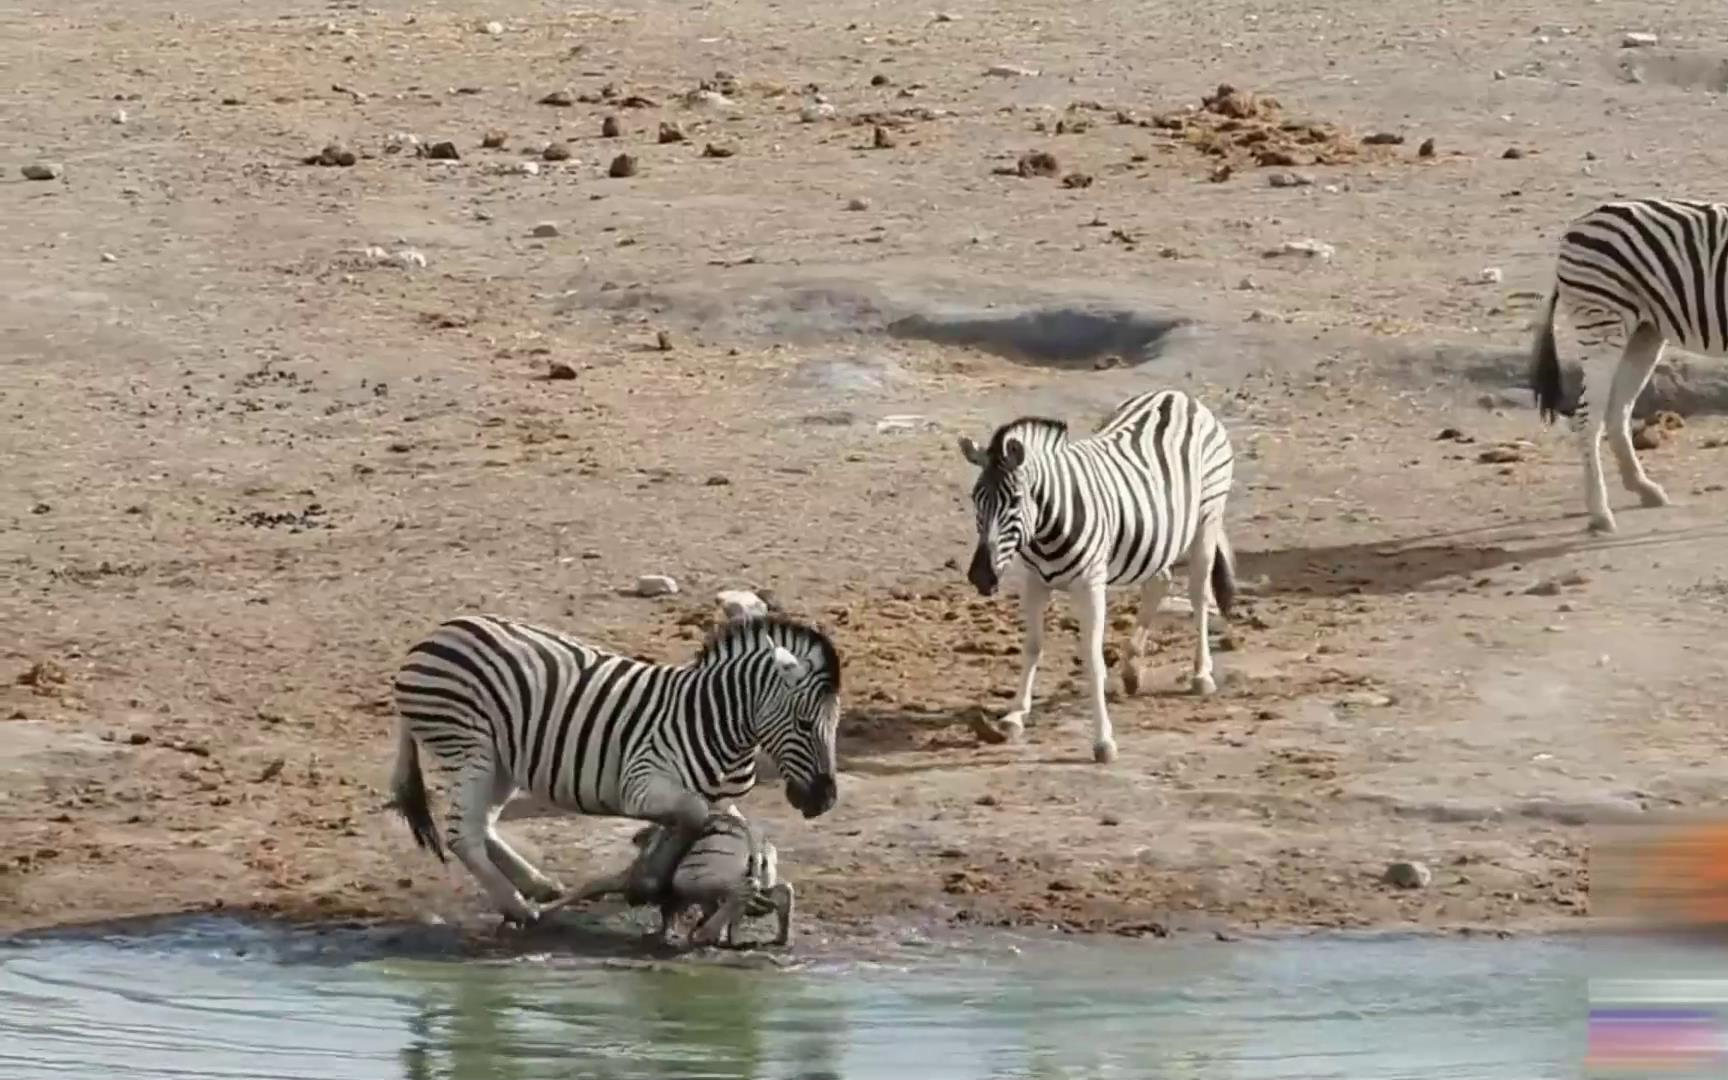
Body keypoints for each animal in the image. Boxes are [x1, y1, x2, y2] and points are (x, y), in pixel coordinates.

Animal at [393, 611, 850, 919]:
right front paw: (649, 880)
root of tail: (438, 631)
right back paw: (518, 907)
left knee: (484, 825)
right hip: (473, 750)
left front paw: (651, 874)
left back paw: (537, 884)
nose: (826, 801)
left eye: (837, 724)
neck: (713, 721)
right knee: (462, 836)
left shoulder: (718, 801)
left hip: (502, 759)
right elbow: (692, 814)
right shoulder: (641, 784)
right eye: (804, 723)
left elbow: (701, 824)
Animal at [552, 801, 794, 940]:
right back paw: (778, 936)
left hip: (688, 876)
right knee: (780, 891)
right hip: (758, 879)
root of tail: (755, 843)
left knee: (745, 890)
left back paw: (704, 934)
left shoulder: (647, 880)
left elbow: (590, 885)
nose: (633, 898)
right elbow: (686, 910)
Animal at [953, 392, 1237, 763]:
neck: (1045, 529)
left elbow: (1092, 657)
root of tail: (1178, 396)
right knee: (1158, 581)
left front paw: (1103, 740)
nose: (981, 576)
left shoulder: (1090, 585)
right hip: (1158, 536)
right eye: (976, 499)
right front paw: (1015, 715)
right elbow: (1032, 646)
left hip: (1208, 517)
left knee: (1199, 595)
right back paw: (1131, 670)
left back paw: (1201, 675)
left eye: (1015, 501)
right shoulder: (1034, 583)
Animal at [1527, 197, 1728, 535]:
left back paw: (1642, 488)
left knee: (1617, 411)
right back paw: (1600, 513)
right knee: (1587, 418)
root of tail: (1578, 224)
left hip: (1644, 332)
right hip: (1602, 328)